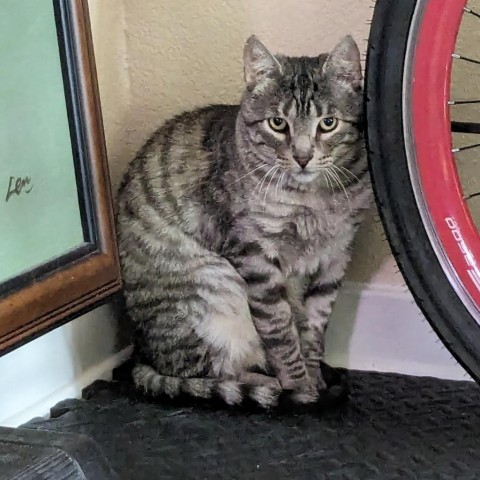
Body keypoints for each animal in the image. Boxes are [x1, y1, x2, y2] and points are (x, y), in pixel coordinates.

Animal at [116, 35, 372, 406]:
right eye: (277, 123)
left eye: (328, 123)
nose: (303, 156)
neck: (314, 201)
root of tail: (142, 354)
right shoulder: (256, 256)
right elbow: (281, 330)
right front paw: (301, 386)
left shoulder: (336, 256)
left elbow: (314, 325)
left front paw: (313, 375)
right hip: (215, 286)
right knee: (210, 372)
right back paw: (269, 384)